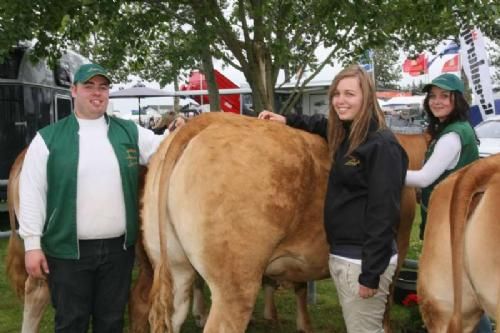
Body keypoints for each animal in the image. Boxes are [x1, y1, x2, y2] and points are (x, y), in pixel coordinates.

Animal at [143, 112, 428, 332]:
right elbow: (385, 306)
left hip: (174, 266)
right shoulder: (398, 247)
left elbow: (300, 285)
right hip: (235, 283)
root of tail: (204, 121)